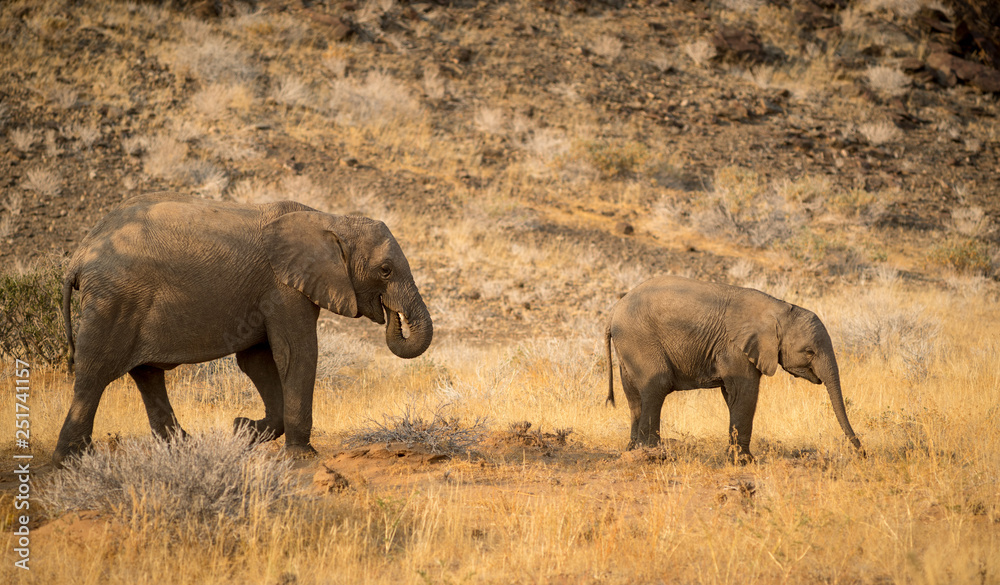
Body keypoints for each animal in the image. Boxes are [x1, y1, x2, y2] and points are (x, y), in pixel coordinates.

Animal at [53, 192, 432, 467]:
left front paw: (241, 430)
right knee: (94, 374)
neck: (331, 220)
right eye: (385, 270)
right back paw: (71, 462)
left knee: (147, 375)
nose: (392, 315)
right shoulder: (283, 287)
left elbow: (258, 361)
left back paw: (184, 449)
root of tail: (79, 256)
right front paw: (302, 457)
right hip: (115, 301)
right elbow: (297, 353)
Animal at [604, 275, 863, 463]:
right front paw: (745, 462)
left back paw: (632, 449)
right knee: (657, 387)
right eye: (809, 352)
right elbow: (745, 392)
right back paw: (653, 454)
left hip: (627, 347)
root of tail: (614, 309)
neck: (778, 309)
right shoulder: (736, 348)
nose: (862, 453)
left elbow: (732, 396)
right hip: (640, 339)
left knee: (634, 396)